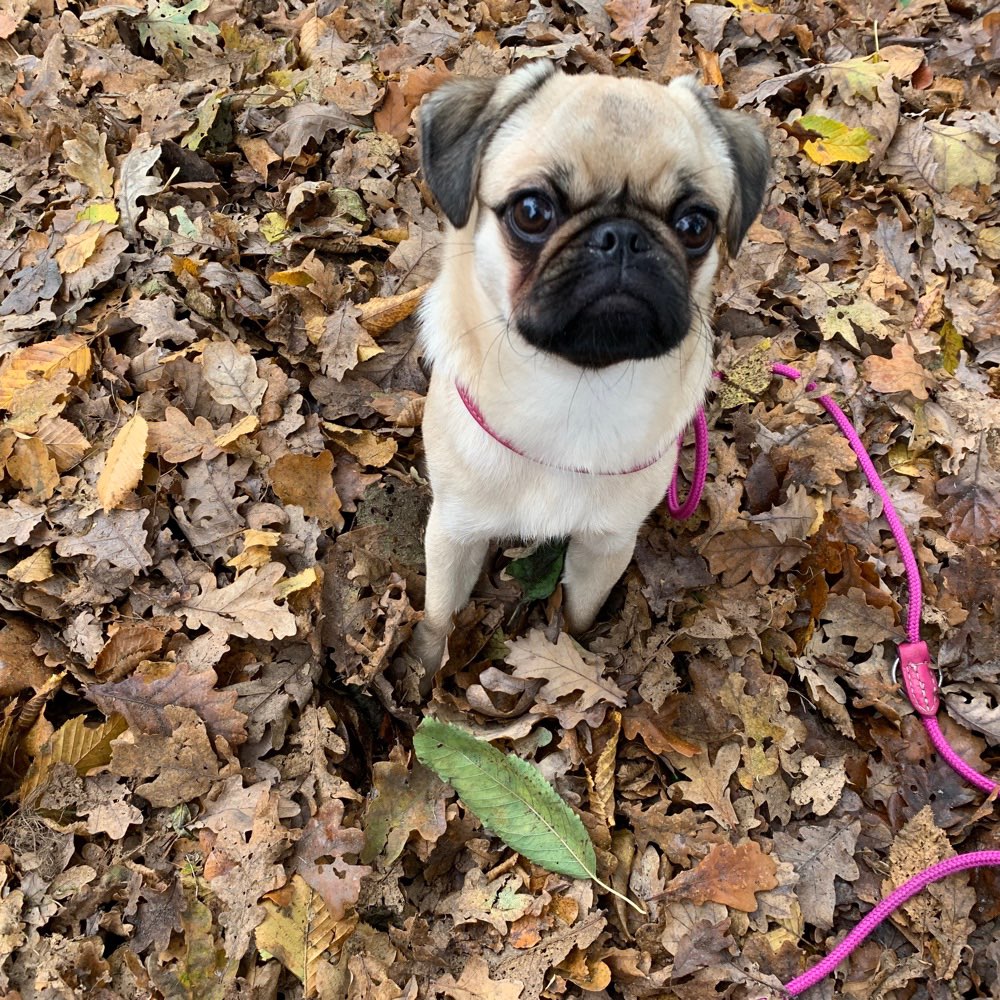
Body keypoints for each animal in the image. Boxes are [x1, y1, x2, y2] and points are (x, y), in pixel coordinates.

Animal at [410, 64, 768, 688]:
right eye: (532, 212)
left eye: (695, 225)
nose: (622, 236)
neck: (574, 390)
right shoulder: (454, 533)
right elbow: (439, 615)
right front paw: (426, 675)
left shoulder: (606, 545)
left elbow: (580, 610)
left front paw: (580, 648)